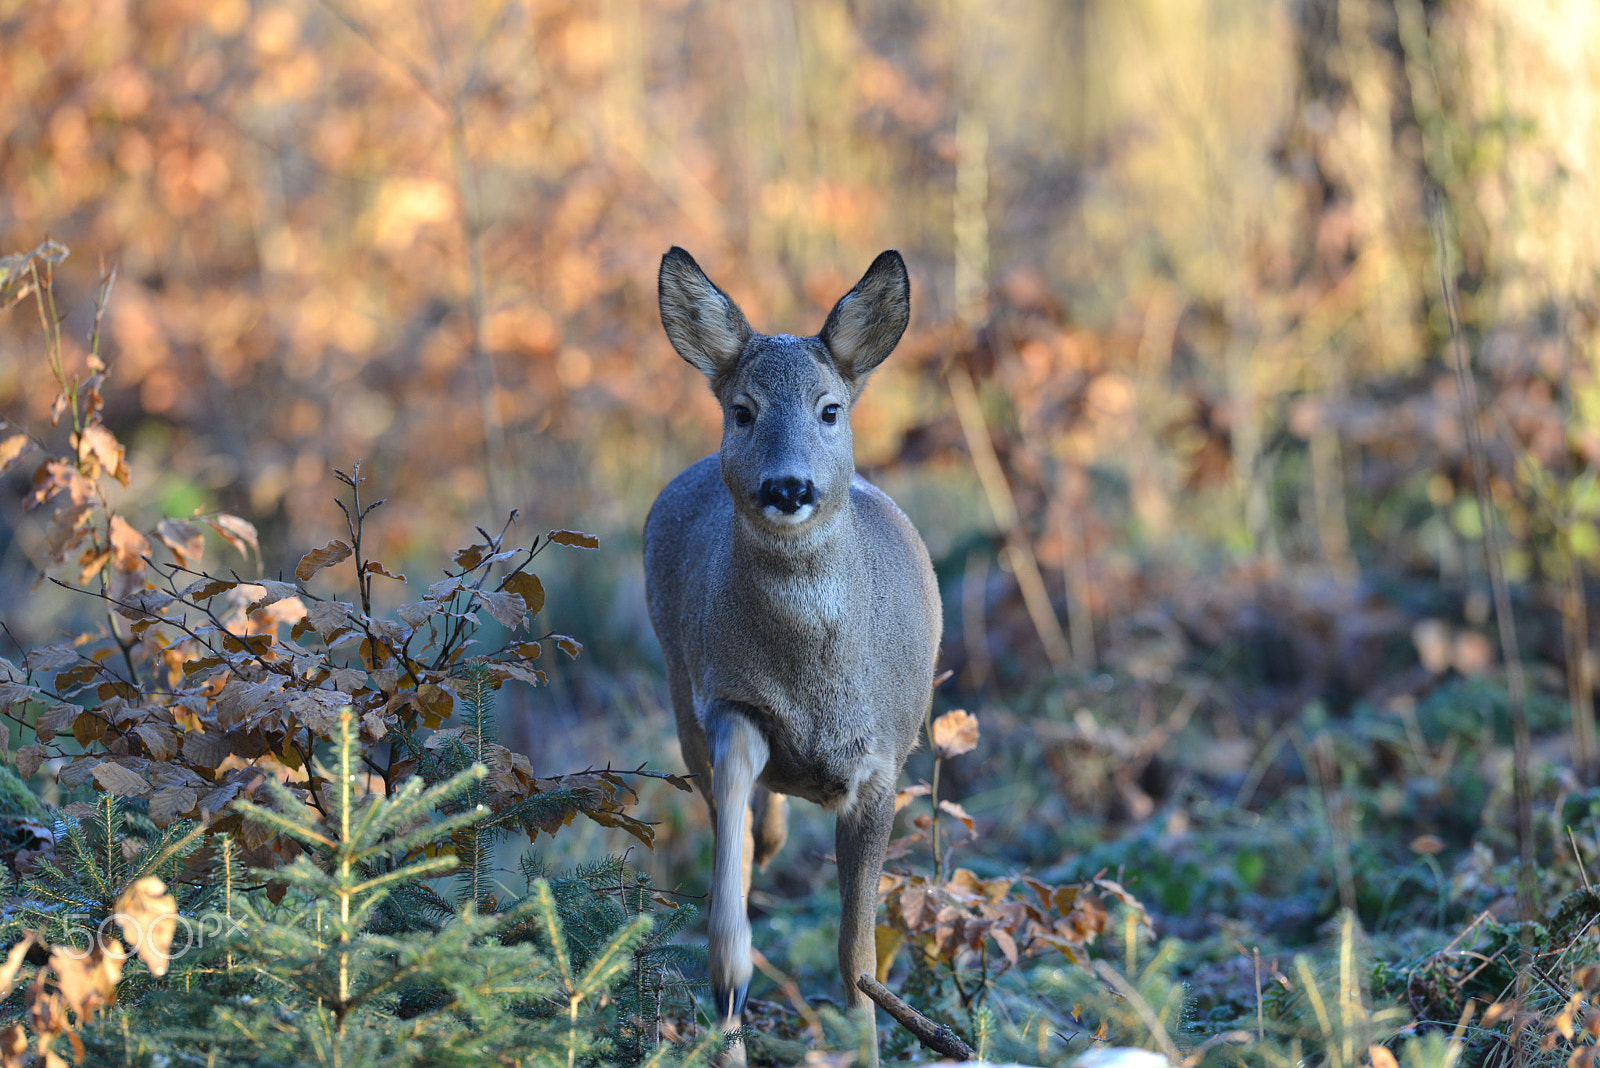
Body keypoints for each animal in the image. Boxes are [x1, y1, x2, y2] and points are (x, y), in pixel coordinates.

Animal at [644, 247, 942, 1067]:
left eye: (829, 409)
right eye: (742, 410)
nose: (787, 486)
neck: (818, 685)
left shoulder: (880, 764)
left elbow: (856, 955)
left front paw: (871, 1045)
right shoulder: (730, 705)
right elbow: (731, 892)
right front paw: (729, 998)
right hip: (680, 689)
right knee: (748, 833)